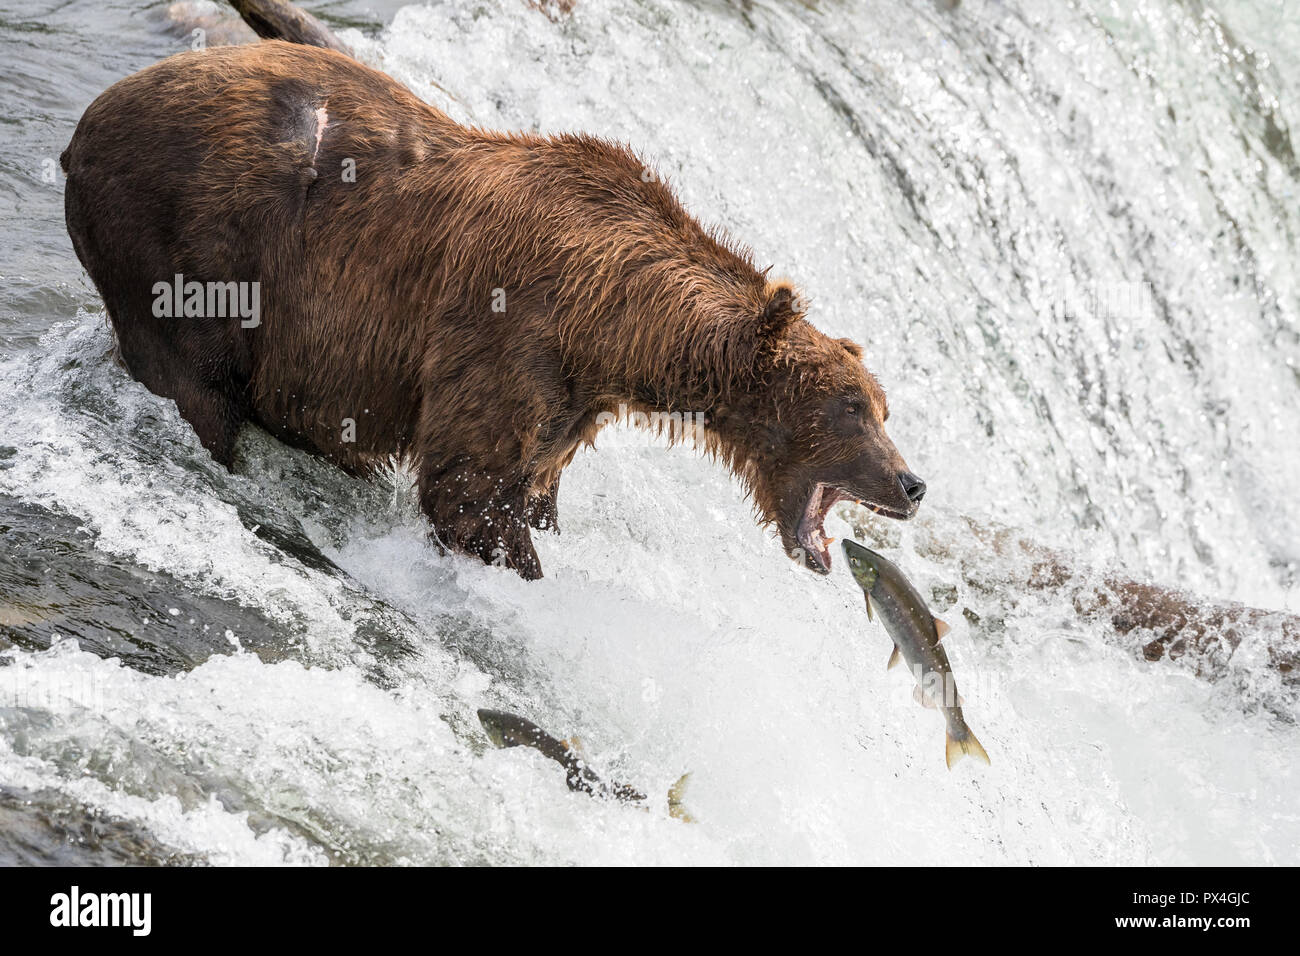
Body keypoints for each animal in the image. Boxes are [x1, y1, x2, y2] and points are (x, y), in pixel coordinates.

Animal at [63, 39, 925, 574]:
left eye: (883, 407)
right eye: (851, 408)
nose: (912, 482)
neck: (613, 325)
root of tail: (85, 126)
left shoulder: (570, 403)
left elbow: (530, 486)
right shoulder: (508, 337)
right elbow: (468, 489)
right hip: (188, 245)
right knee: (196, 384)